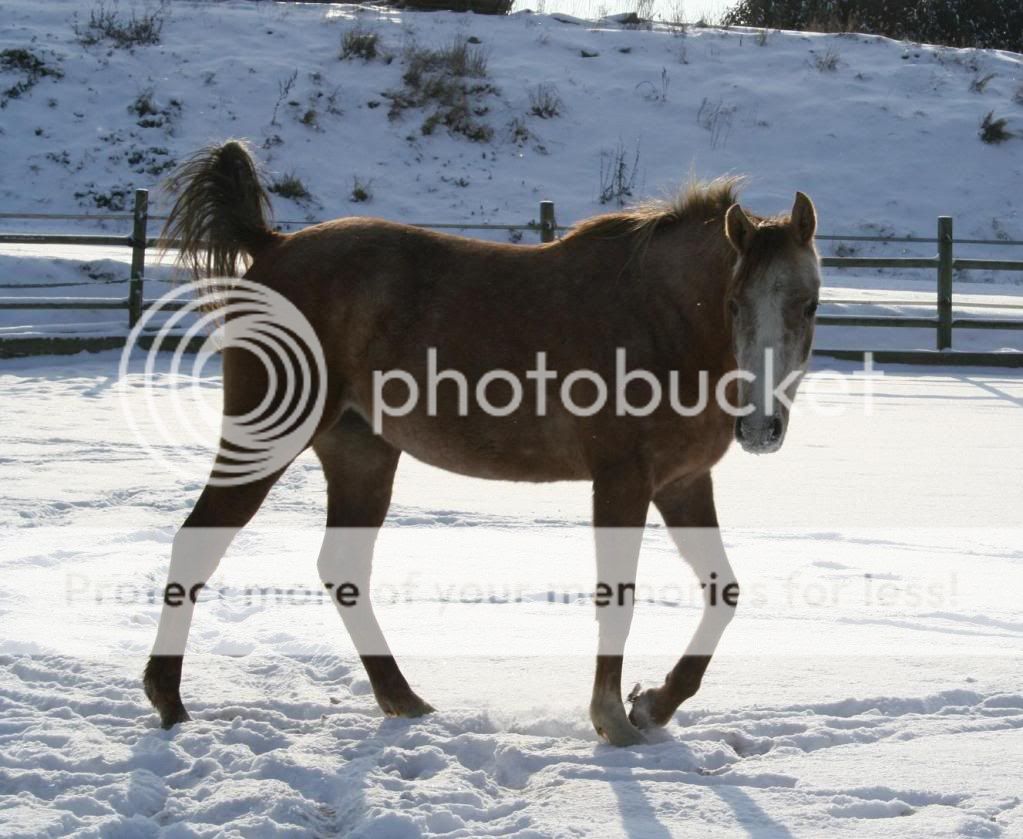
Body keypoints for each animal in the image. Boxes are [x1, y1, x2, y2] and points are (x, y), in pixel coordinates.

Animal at [144, 139, 818, 748]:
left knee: (343, 571)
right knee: (200, 543)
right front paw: (612, 720)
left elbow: (723, 592)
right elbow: (617, 597)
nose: (760, 428)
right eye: (733, 303)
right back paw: (169, 701)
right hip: (270, 435)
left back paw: (404, 699)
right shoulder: (622, 481)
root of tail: (273, 244)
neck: (662, 323)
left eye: (809, 306)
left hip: (362, 456)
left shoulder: (680, 483)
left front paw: (653, 704)